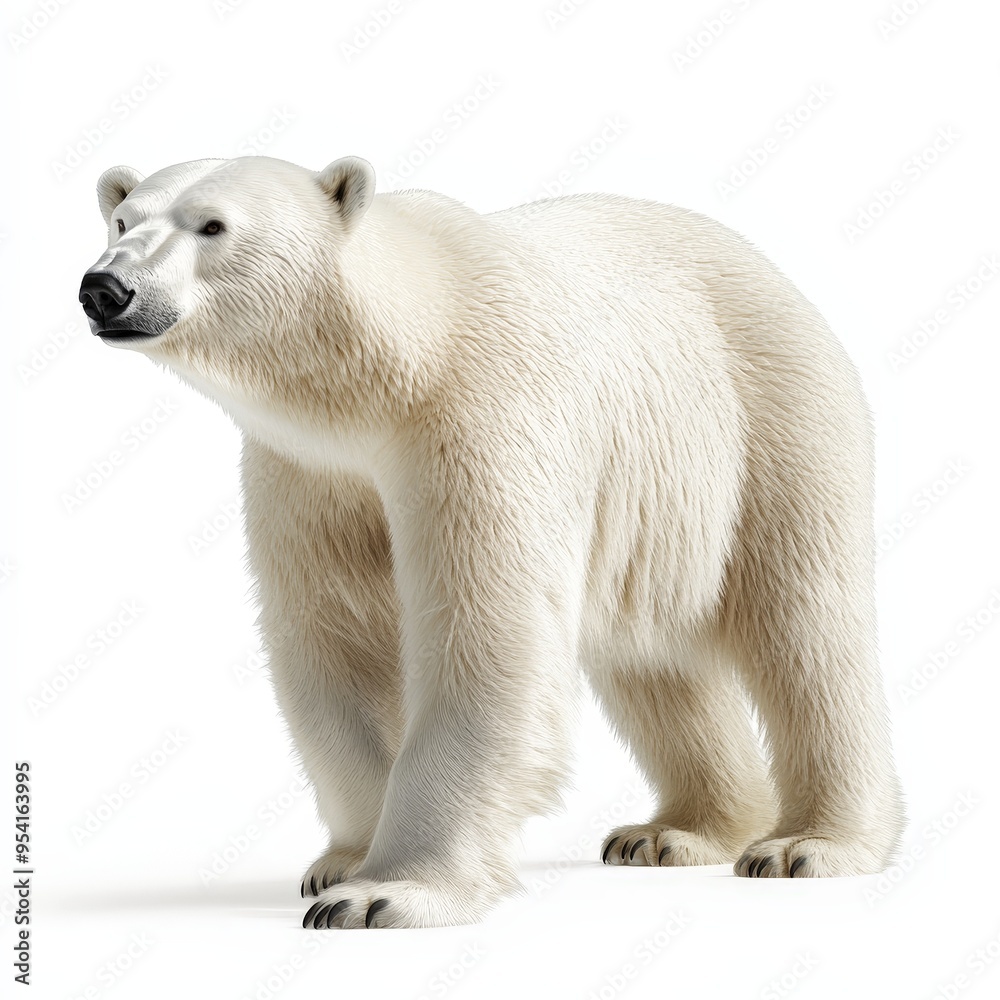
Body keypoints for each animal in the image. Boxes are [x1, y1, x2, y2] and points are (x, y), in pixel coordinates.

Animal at [80, 154, 904, 929]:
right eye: (122, 220)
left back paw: (807, 844)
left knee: (805, 627)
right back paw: (675, 832)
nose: (104, 289)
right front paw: (343, 861)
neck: (397, 363)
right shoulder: (310, 472)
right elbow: (335, 642)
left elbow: (483, 640)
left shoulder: (480, 420)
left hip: (767, 417)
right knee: (651, 657)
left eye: (213, 225)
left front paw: (384, 894)